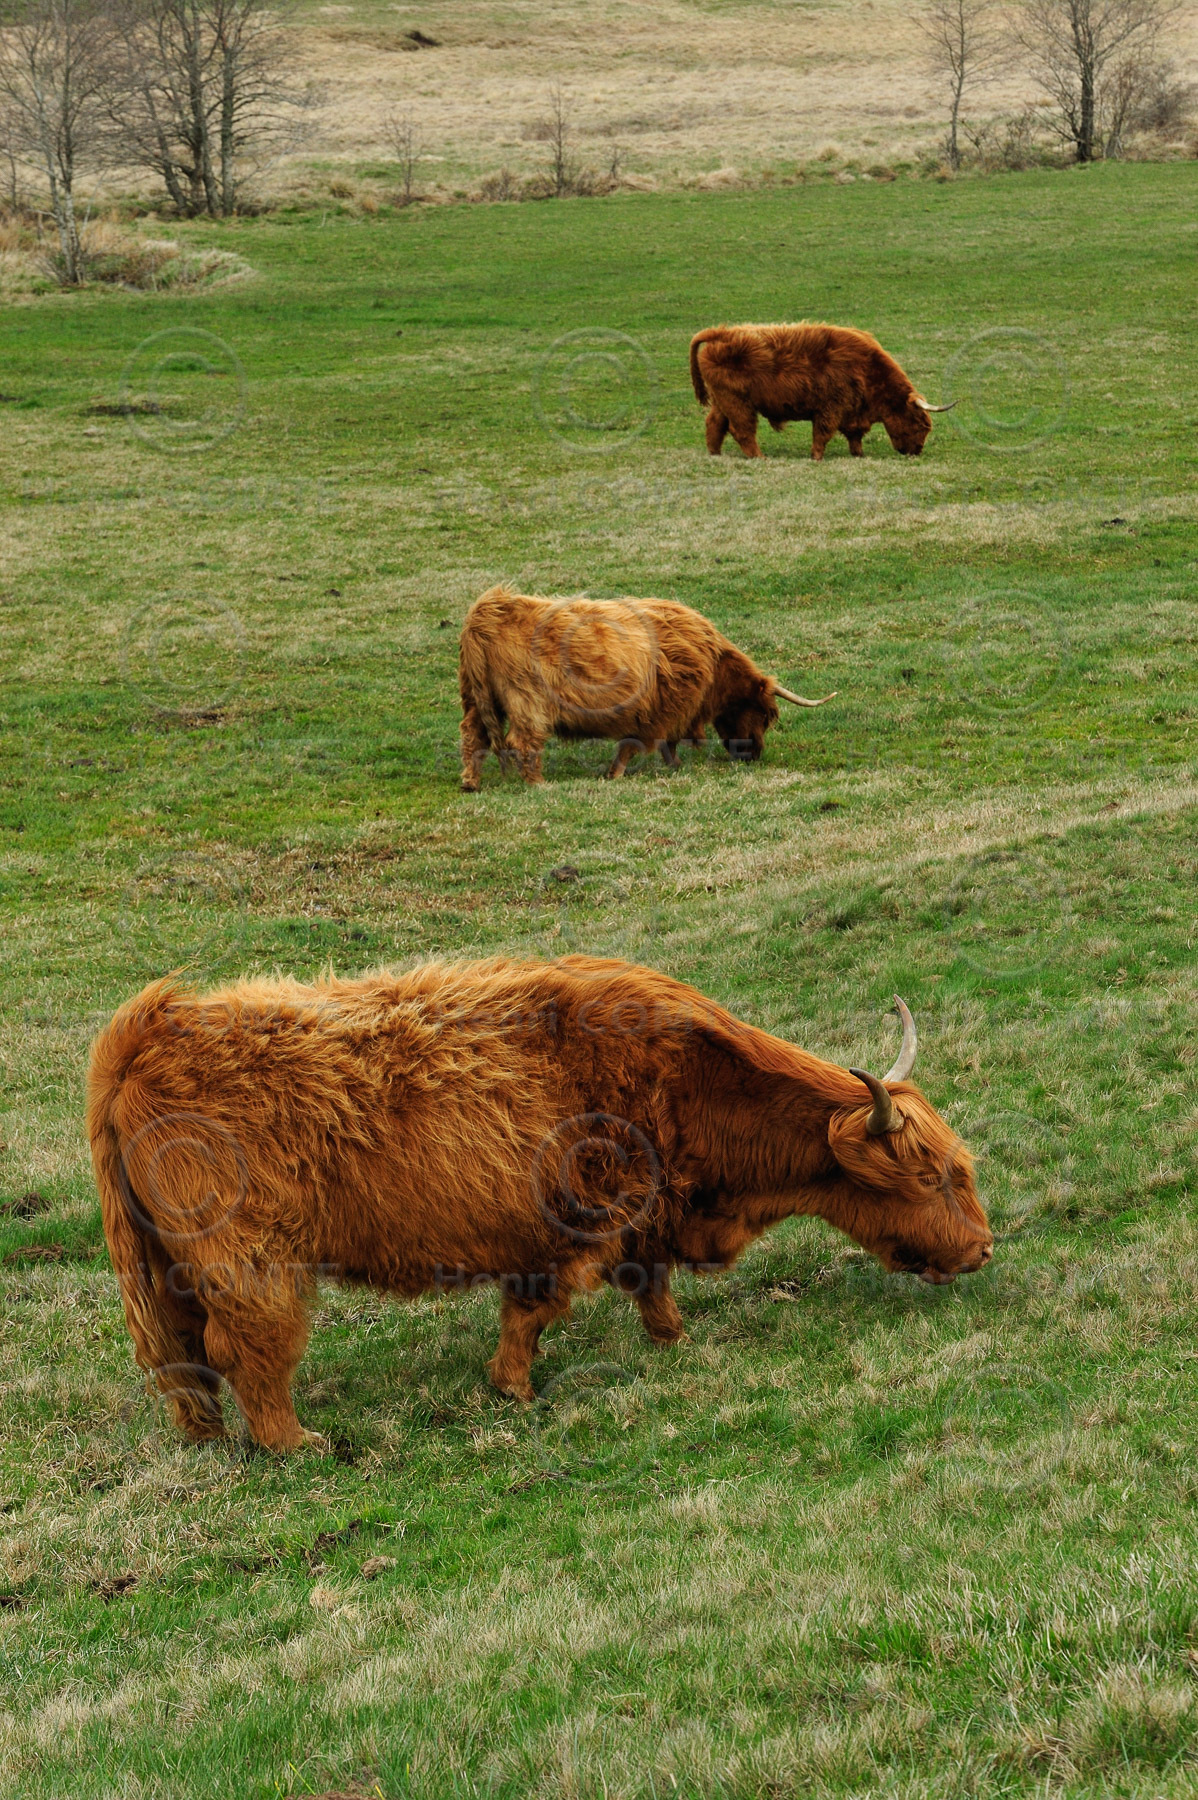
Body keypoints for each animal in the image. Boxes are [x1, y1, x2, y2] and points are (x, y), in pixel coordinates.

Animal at [89, 959, 992, 1452]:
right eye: (936, 1177)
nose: (985, 1249)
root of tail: (146, 1033)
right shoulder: (573, 1223)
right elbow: (533, 1311)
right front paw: (515, 1390)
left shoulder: (641, 1214)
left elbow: (648, 1280)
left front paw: (673, 1338)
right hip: (253, 1263)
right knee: (248, 1350)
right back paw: (297, 1444)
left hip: (169, 1267)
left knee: (186, 1357)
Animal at [458, 584, 835, 788]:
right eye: (765, 714)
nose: (753, 754)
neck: (711, 664)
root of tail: (489, 609)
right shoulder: (664, 709)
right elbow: (646, 742)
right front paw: (618, 773)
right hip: (527, 701)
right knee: (522, 742)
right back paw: (538, 783)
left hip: (476, 698)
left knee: (473, 736)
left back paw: (470, 782)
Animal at [690, 323, 954, 462]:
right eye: (920, 424)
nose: (916, 451)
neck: (867, 368)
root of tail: (722, 333)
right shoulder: (831, 408)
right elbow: (823, 433)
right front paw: (816, 457)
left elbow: (854, 435)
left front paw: (858, 454)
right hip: (738, 404)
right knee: (742, 430)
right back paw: (759, 457)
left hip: (722, 402)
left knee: (715, 424)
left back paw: (715, 454)